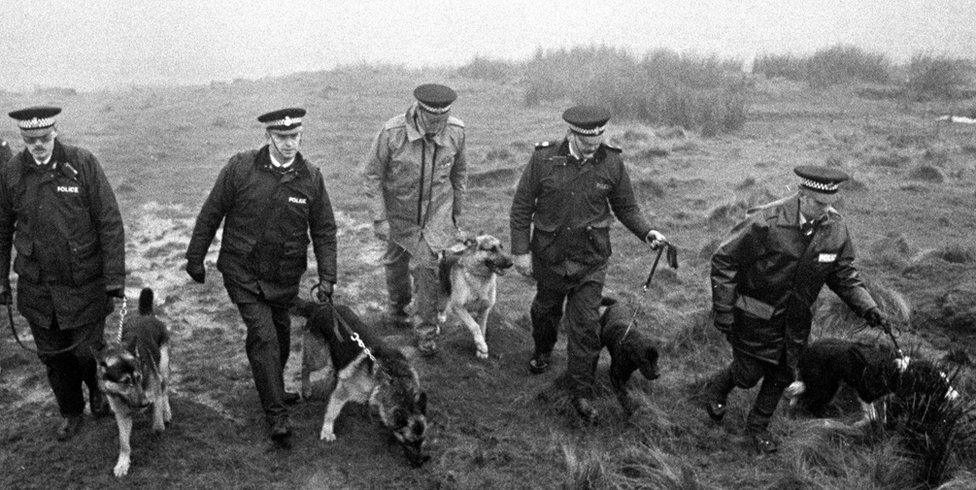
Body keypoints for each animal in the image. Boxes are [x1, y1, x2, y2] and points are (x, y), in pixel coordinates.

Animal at [96, 290, 172, 476]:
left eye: (139, 377)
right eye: (125, 382)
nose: (145, 403)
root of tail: (146, 315)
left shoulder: (154, 394)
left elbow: (157, 425)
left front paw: (159, 425)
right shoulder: (121, 415)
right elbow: (124, 444)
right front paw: (123, 463)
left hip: (163, 367)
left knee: (165, 389)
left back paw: (166, 412)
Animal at [290, 298, 428, 468]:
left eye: (422, 441)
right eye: (410, 441)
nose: (422, 462)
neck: (395, 380)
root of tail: (320, 305)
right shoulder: (343, 392)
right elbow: (332, 412)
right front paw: (327, 431)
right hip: (318, 358)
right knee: (305, 367)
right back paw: (306, 388)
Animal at [780, 338, 956, 426]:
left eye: (947, 380)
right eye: (941, 383)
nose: (957, 396)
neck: (901, 372)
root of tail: (806, 351)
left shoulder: (882, 396)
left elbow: (882, 414)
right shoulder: (865, 390)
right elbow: (871, 416)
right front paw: (861, 425)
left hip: (827, 383)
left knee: (799, 393)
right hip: (824, 385)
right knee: (807, 400)